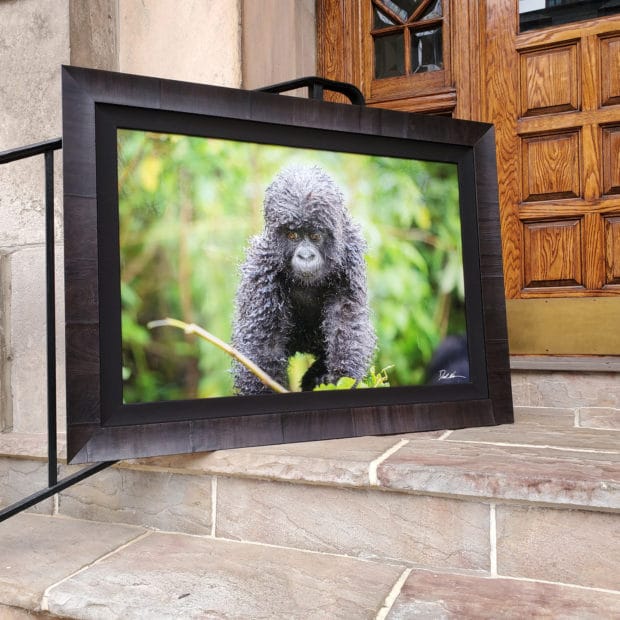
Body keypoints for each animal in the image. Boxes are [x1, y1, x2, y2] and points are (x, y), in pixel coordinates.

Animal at [232, 165, 376, 394]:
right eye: (293, 236)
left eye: (315, 236)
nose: (306, 256)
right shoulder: (261, 267)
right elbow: (263, 346)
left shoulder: (350, 256)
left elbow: (345, 320)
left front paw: (339, 378)